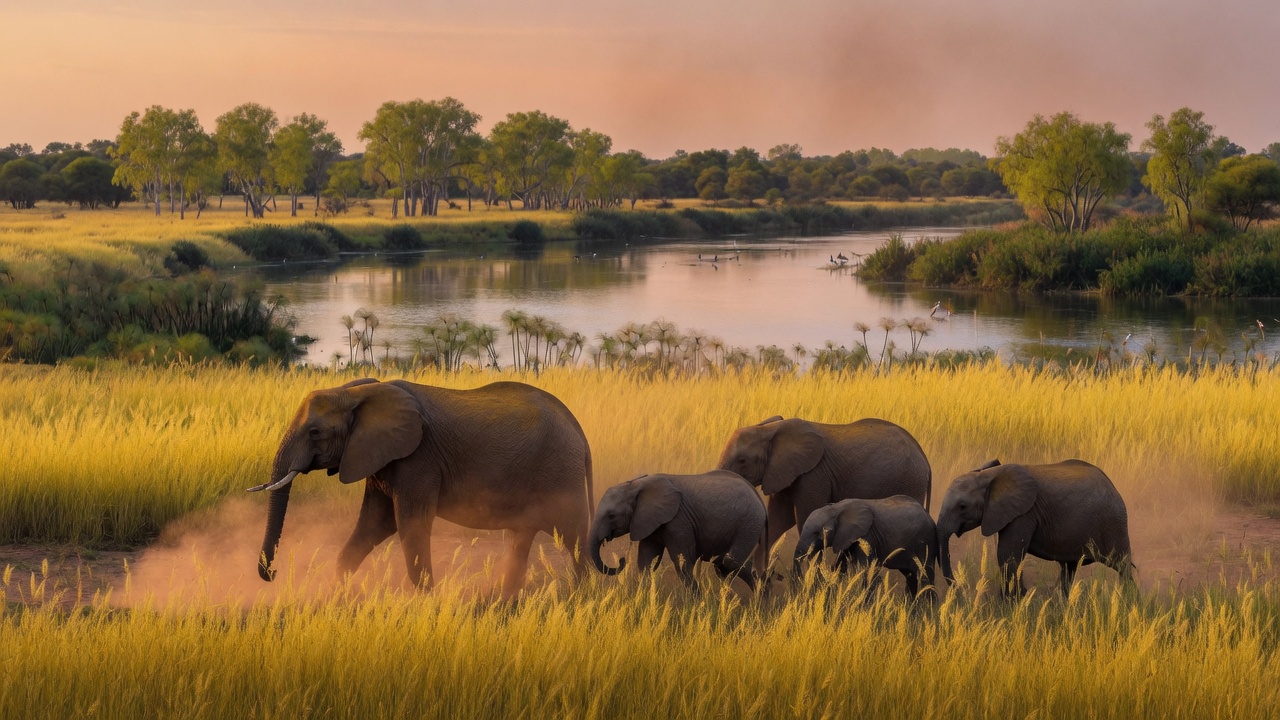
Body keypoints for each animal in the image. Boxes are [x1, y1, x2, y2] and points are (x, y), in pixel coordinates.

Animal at [249, 377, 594, 597]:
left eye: (315, 432)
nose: (274, 573)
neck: (358, 393)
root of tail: (577, 427)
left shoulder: (418, 458)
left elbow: (410, 525)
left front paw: (428, 601)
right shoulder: (381, 459)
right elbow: (375, 525)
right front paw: (338, 595)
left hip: (561, 473)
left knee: (575, 539)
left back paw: (581, 597)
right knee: (522, 536)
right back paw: (502, 597)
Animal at [589, 471, 766, 590]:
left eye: (611, 516)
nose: (621, 560)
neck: (637, 485)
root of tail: (760, 500)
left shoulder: (678, 521)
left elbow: (683, 562)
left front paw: (696, 603)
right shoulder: (650, 522)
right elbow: (646, 559)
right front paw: (644, 594)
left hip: (748, 523)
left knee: (728, 562)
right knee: (724, 564)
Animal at [716, 416, 931, 575]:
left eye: (742, 460)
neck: (769, 429)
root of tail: (925, 459)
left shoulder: (814, 474)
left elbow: (804, 517)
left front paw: (811, 577)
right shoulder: (782, 473)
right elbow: (778, 519)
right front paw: (759, 576)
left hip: (909, 482)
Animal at [793, 495, 939, 598]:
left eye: (817, 532)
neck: (836, 508)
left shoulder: (867, 536)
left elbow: (867, 570)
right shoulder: (846, 538)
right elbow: (840, 566)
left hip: (926, 542)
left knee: (925, 576)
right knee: (911, 576)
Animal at [936, 459, 1134, 597]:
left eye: (962, 506)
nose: (961, 590)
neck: (989, 476)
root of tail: (1113, 487)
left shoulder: (1024, 513)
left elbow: (1008, 555)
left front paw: (1015, 600)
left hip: (1114, 524)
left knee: (1122, 566)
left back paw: (1129, 600)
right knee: (1069, 568)